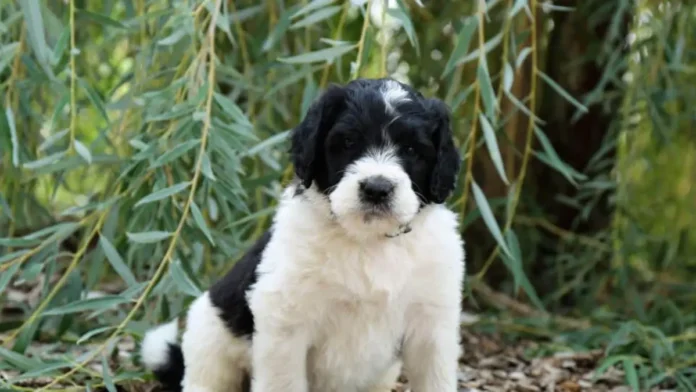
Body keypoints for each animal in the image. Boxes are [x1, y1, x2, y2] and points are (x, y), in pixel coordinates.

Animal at [140, 77, 468, 392]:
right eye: (348, 142)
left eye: (411, 150)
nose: (376, 188)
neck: (367, 241)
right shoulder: (285, 319)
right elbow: (282, 382)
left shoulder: (432, 324)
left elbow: (435, 379)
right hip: (210, 332)